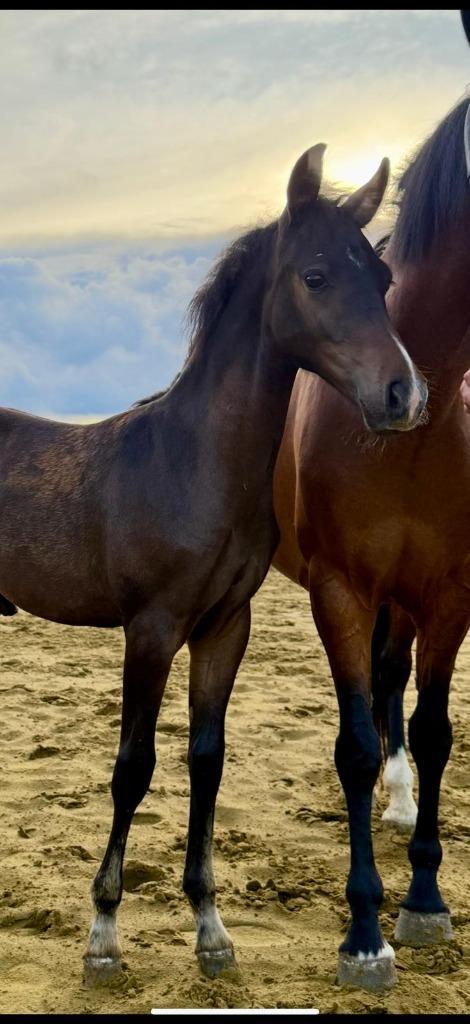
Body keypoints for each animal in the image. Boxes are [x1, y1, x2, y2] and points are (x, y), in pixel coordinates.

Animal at [0, 144, 426, 983]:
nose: (403, 395)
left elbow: (207, 759)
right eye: (316, 275)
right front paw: (104, 933)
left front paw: (210, 925)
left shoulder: (226, 627)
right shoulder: (151, 629)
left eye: (384, 277)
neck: (192, 462)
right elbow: (133, 766)